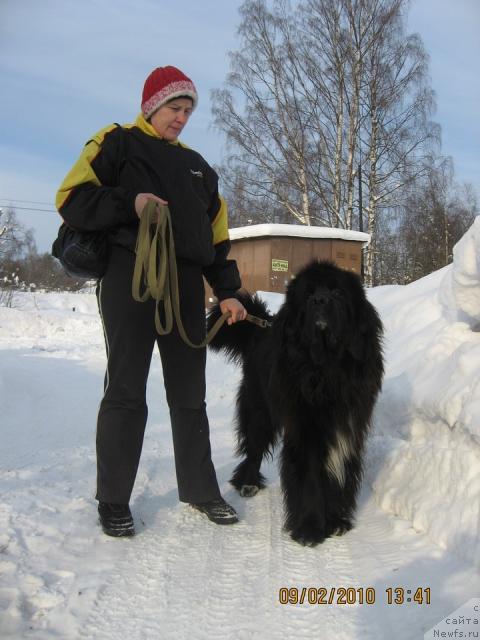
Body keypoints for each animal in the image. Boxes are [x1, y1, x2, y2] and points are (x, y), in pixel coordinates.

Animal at [208, 260, 384, 544]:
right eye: (309, 295)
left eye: (337, 293)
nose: (320, 300)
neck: (328, 370)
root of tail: (260, 330)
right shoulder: (305, 429)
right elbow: (310, 478)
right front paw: (310, 529)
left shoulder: (348, 428)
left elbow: (338, 474)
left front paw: (336, 521)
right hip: (259, 411)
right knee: (254, 447)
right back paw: (247, 483)